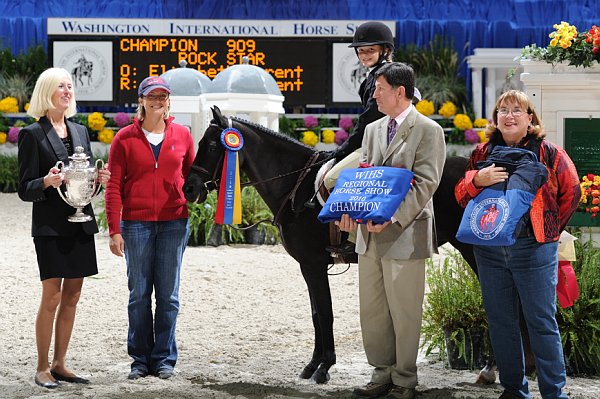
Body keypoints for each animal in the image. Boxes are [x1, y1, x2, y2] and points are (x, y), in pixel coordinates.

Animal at [183, 106, 478, 384]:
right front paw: (312, 364)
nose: (189, 188)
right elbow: (316, 314)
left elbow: (325, 313)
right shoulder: (307, 266)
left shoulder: (313, 264)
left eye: (212, 146)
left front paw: (324, 368)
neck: (296, 187)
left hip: (470, 249)